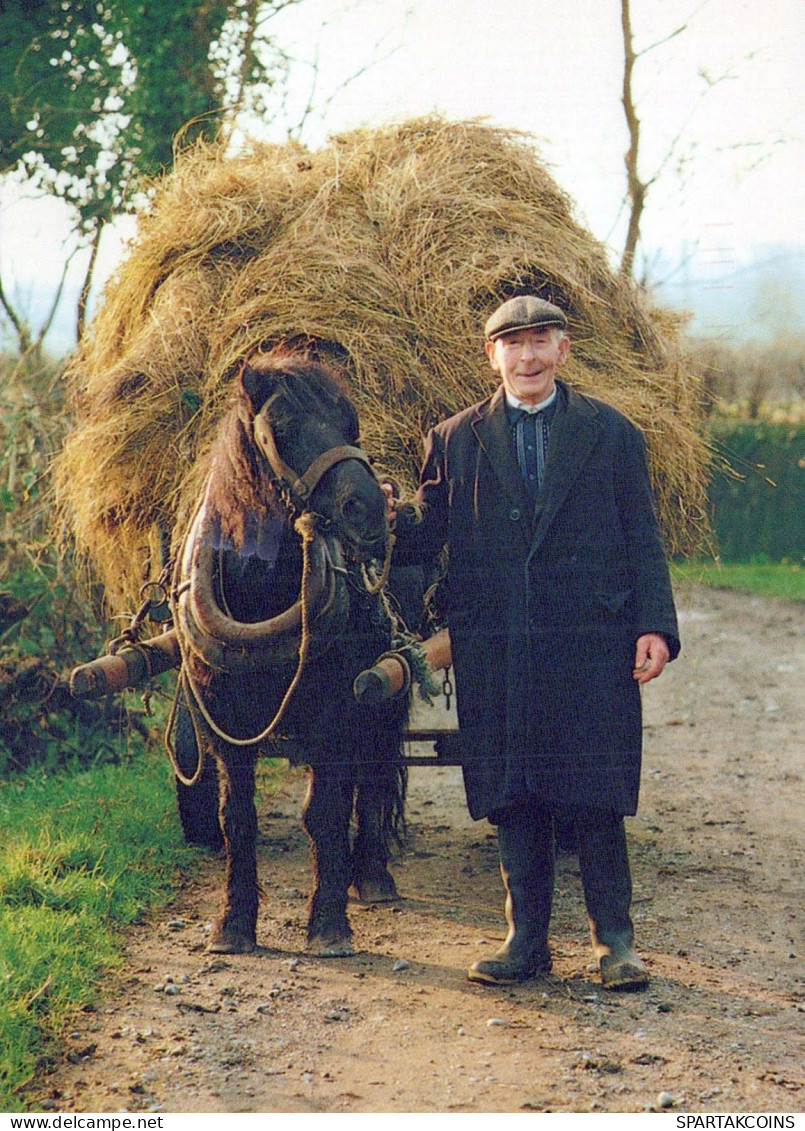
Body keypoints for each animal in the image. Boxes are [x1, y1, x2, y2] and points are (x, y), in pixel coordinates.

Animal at [170, 352, 409, 954]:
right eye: (281, 429)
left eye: (351, 424)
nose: (371, 509)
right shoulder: (220, 714)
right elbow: (238, 817)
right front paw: (233, 924)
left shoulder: (340, 708)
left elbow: (326, 812)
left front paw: (328, 924)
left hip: (383, 697)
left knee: (374, 778)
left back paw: (371, 875)